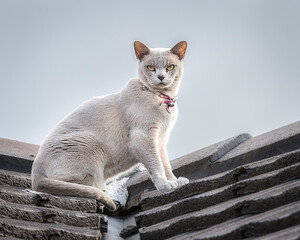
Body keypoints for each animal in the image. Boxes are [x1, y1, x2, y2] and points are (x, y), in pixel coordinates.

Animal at [31, 40, 190, 210]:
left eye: (170, 67)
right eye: (151, 68)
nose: (161, 76)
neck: (164, 99)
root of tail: (35, 174)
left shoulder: (161, 141)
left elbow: (166, 164)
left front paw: (175, 181)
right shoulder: (144, 137)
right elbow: (157, 164)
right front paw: (165, 185)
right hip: (90, 143)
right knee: (77, 185)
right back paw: (109, 195)